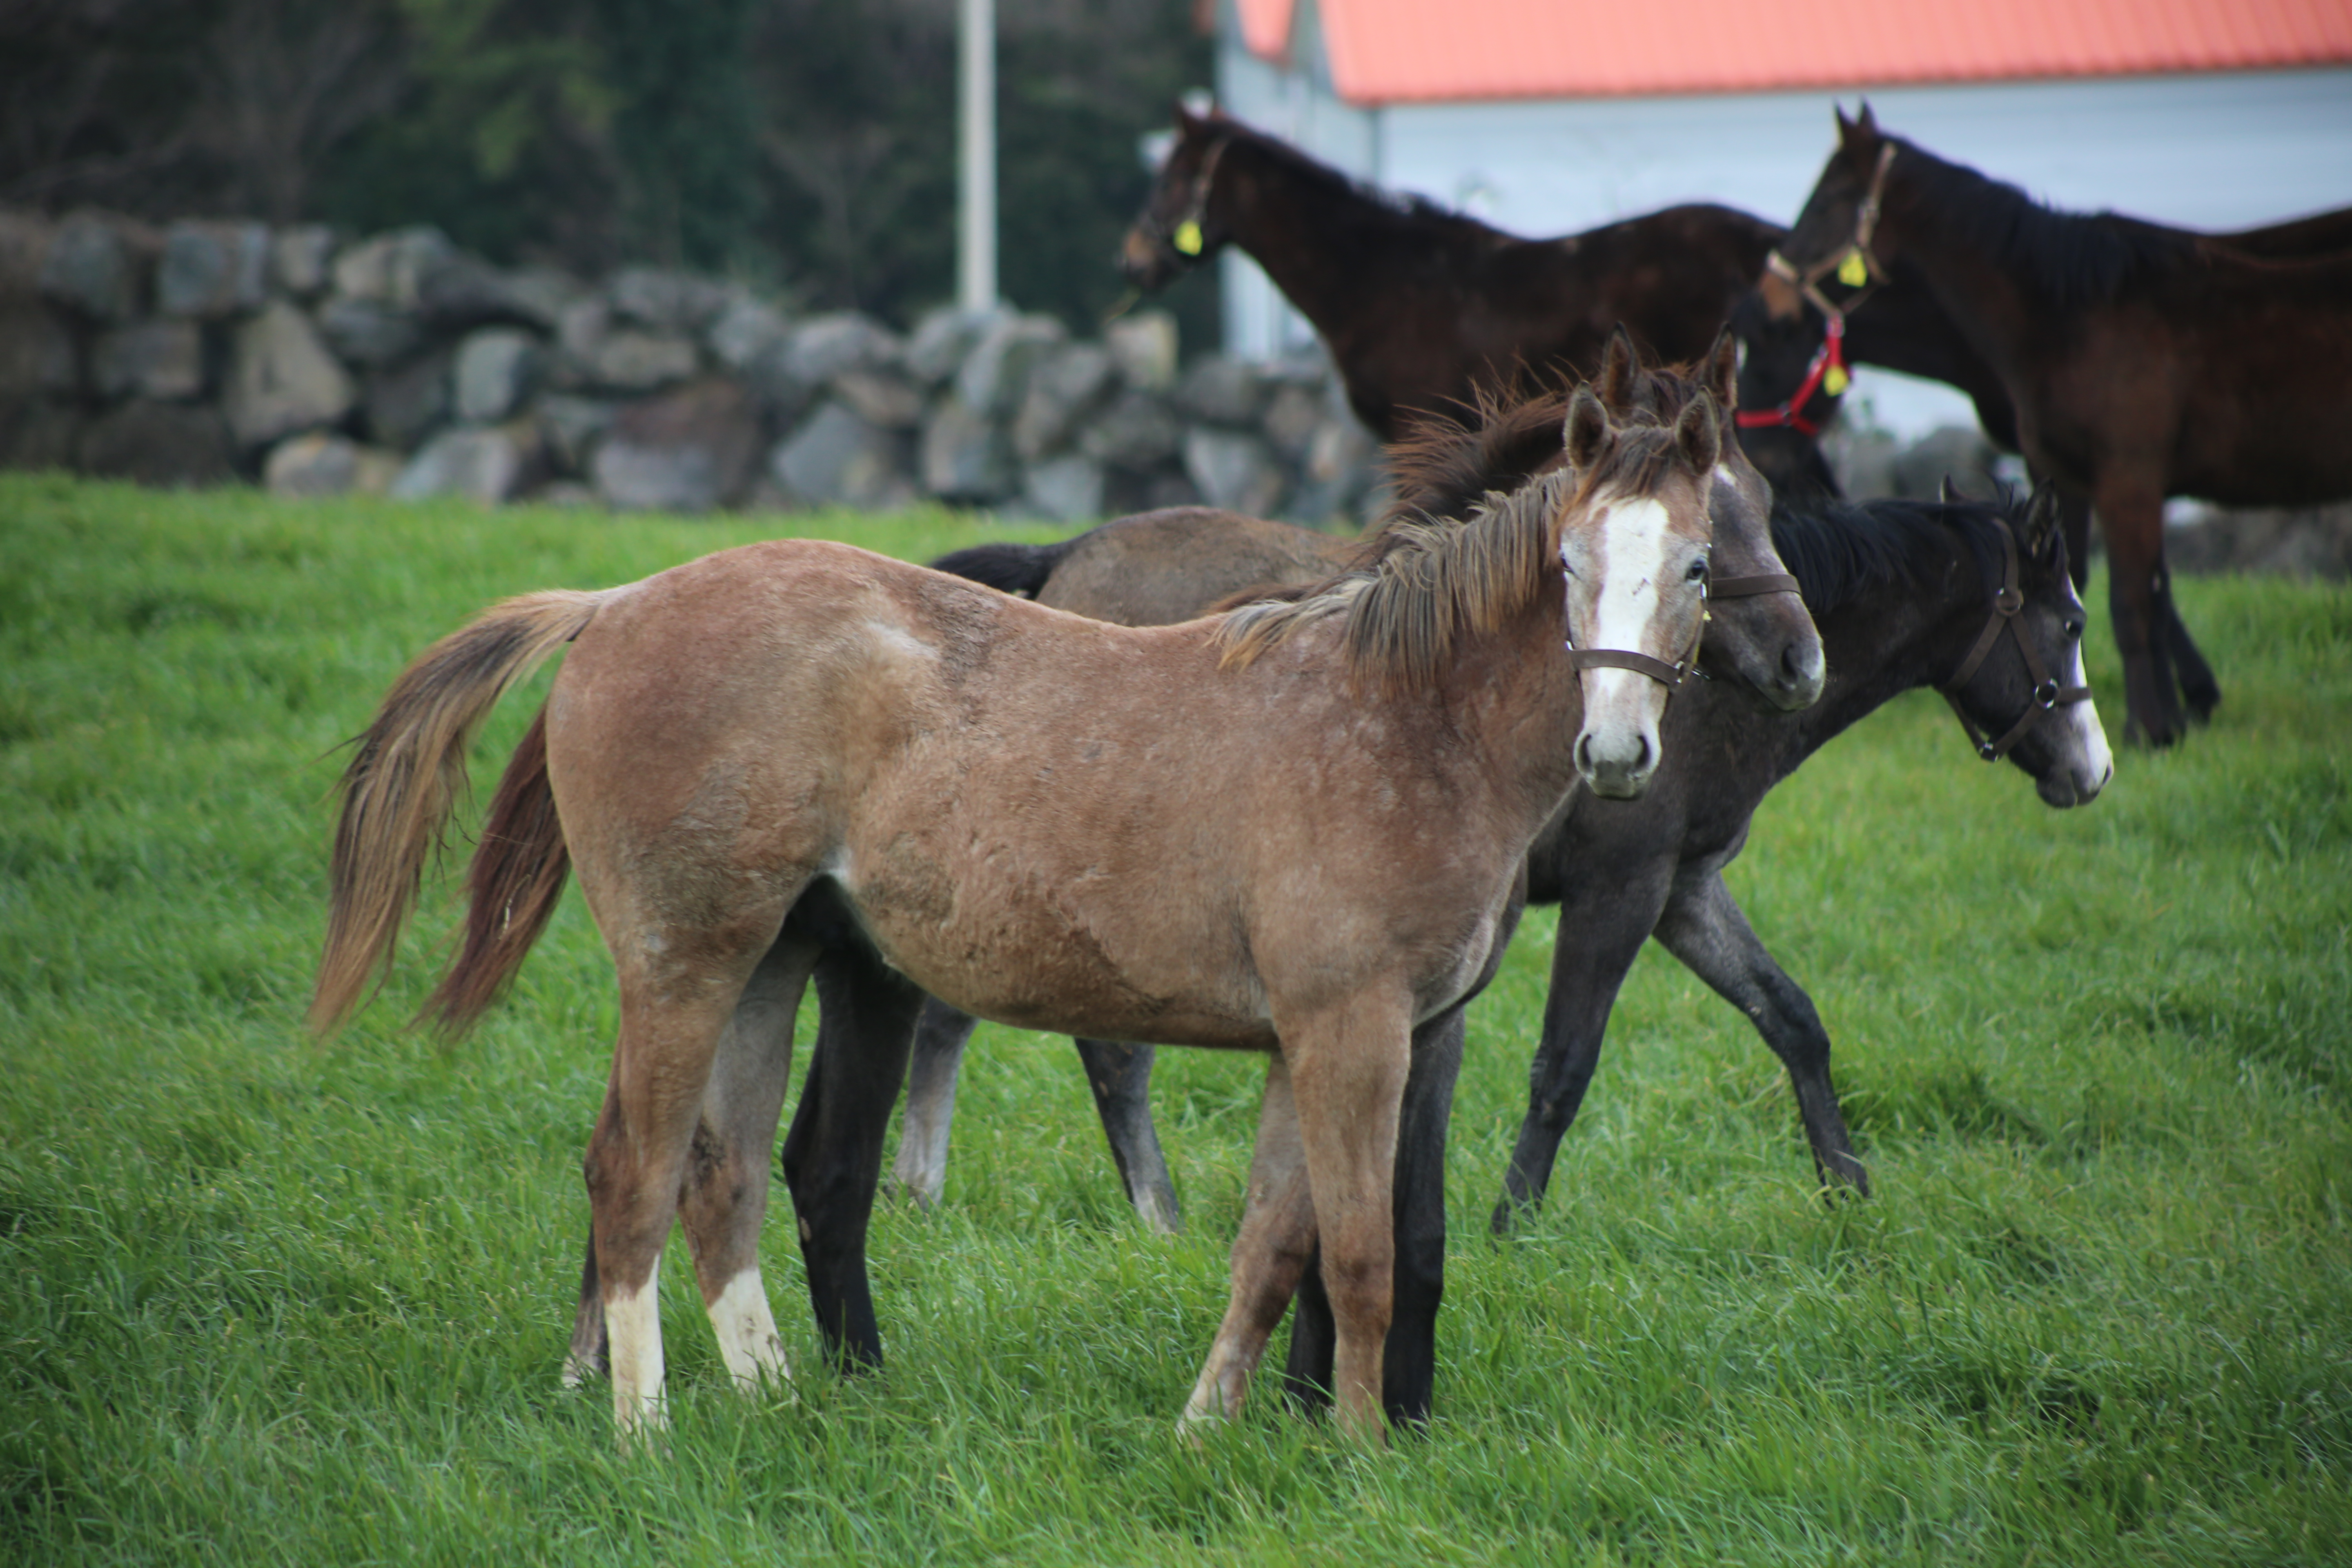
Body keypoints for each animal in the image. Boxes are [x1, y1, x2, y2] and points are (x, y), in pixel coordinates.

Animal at [1768, 109, 2352, 747]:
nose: (1769, 291)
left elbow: (2132, 604)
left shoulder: (2129, 480)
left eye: (1828, 202)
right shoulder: (2064, 472)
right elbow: (2101, 584)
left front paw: (2148, 728)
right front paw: (2165, 718)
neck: (2071, 317)